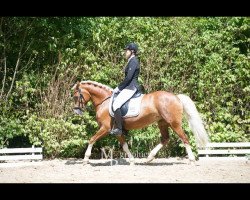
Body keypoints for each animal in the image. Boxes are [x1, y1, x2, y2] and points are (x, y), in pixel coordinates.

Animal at [72, 80, 209, 165]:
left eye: (75, 96)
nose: (76, 111)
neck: (104, 102)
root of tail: (176, 97)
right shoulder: (117, 131)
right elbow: (125, 146)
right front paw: (132, 160)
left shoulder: (105, 128)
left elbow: (91, 139)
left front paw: (85, 159)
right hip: (162, 123)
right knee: (165, 139)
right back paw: (149, 158)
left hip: (174, 123)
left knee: (184, 138)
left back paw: (191, 160)